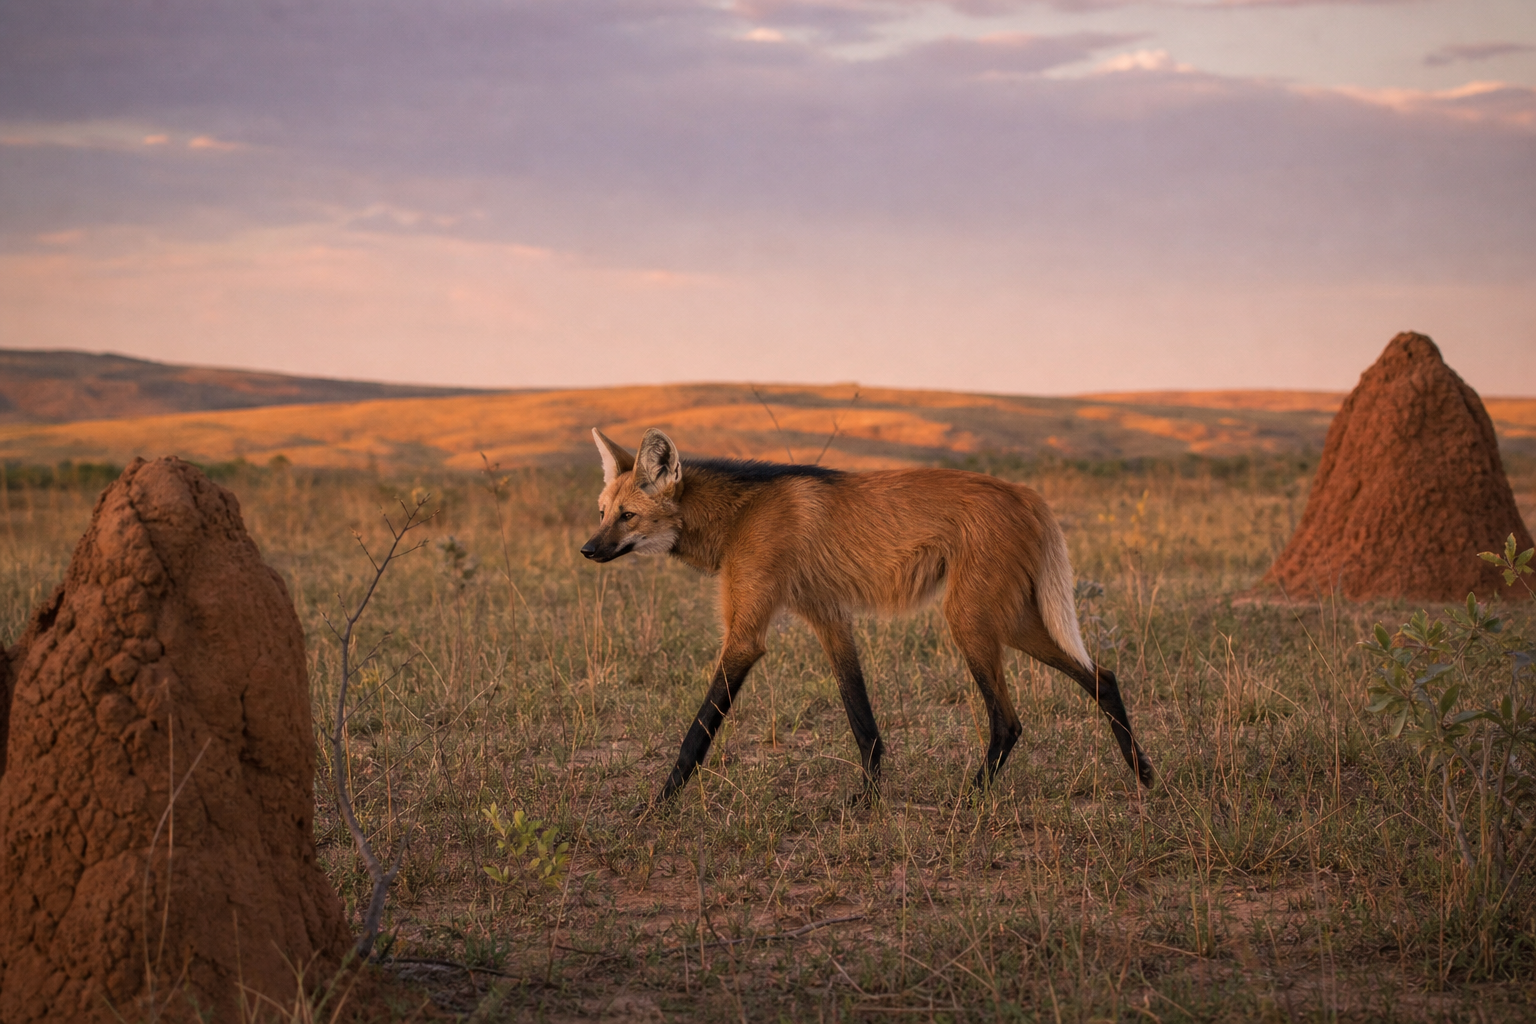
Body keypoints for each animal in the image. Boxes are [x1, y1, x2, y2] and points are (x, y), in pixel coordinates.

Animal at [580, 427, 1155, 804]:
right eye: (602, 513)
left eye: (628, 516)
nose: (587, 549)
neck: (739, 515)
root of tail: (1026, 492)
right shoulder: (829, 617)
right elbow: (861, 717)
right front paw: (870, 796)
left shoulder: (746, 637)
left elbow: (696, 733)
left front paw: (657, 804)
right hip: (1007, 620)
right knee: (1103, 677)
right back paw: (1145, 775)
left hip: (969, 621)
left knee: (1009, 720)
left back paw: (971, 796)